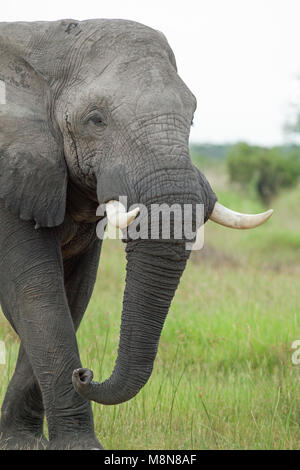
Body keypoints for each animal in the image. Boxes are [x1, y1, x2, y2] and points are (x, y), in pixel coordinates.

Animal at [0, 19, 274, 452]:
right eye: (95, 119)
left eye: (192, 116)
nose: (85, 374)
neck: (47, 43)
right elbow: (35, 294)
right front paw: (77, 446)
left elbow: (72, 295)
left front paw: (23, 443)